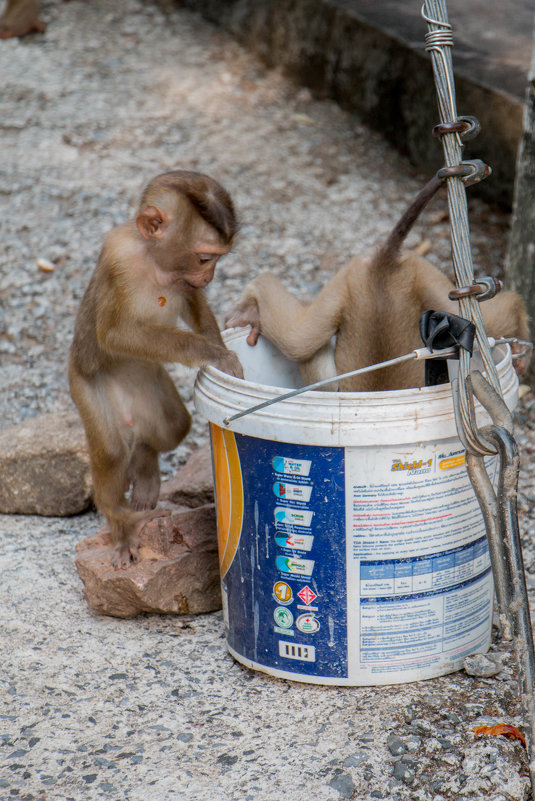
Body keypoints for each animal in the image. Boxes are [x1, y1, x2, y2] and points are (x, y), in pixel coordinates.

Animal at [69, 170, 243, 568]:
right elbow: (115, 334)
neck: (154, 263)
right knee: (112, 451)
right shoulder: (118, 259)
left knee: (173, 427)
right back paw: (122, 524)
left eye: (215, 260)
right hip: (85, 387)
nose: (210, 277)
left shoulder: (184, 283)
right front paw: (211, 353)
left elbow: (192, 301)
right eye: (205, 258)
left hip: (154, 391)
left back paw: (146, 467)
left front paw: (221, 349)